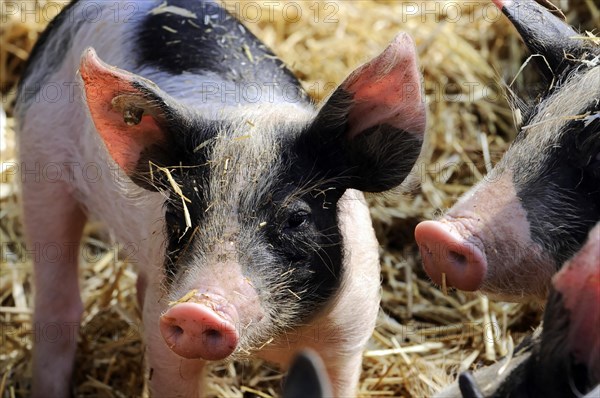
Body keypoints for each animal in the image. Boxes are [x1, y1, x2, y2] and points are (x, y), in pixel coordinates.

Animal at [14, 0, 426, 398]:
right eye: (176, 215)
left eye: (296, 218)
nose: (197, 310)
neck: (272, 340)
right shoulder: (164, 331)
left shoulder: (348, 336)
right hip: (39, 161)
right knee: (58, 301)